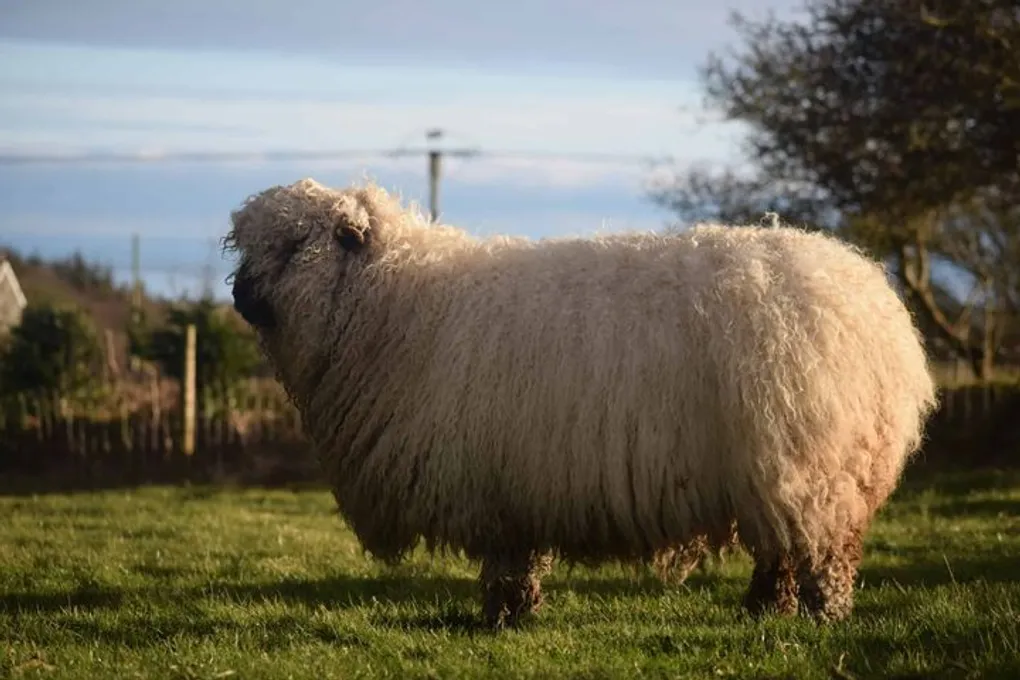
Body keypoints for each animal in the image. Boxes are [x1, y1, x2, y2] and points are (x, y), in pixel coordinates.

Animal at [227, 178, 934, 632]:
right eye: (250, 246)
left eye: (292, 246)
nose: (238, 297)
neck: (395, 303)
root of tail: (875, 304)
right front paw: (516, 616)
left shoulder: (497, 482)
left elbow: (507, 563)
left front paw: (503, 620)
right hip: (783, 467)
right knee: (782, 547)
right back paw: (763, 609)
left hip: (812, 462)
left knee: (823, 550)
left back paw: (820, 617)